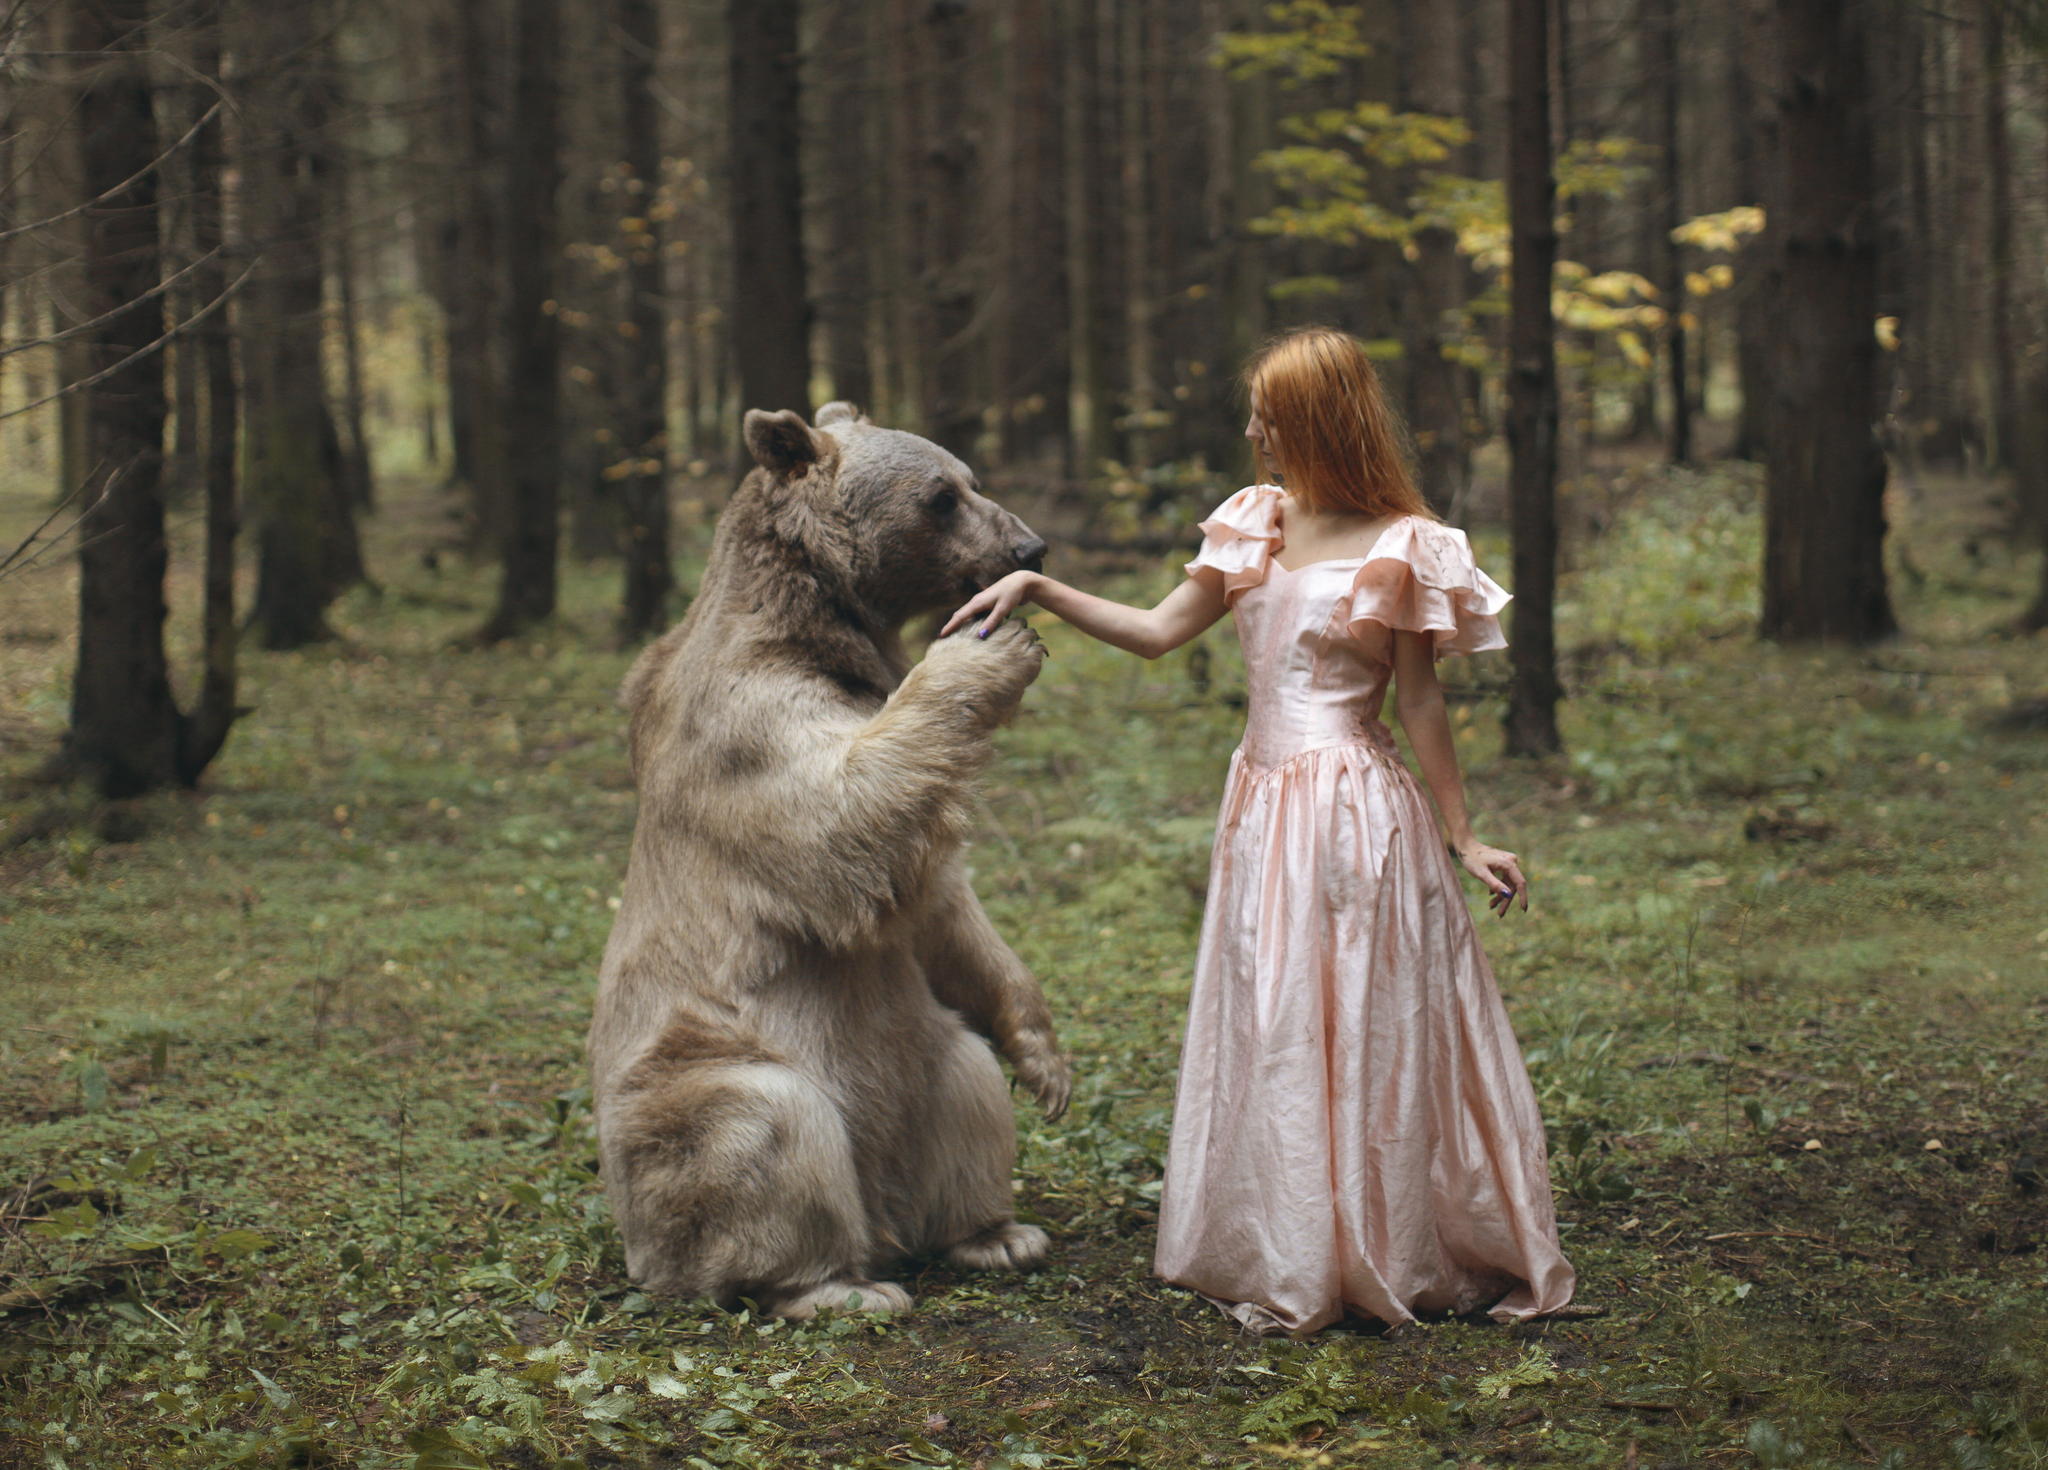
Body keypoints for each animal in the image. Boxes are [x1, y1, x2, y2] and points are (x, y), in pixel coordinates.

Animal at [587, 402, 1071, 1319]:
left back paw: (995, 1232)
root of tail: (880, 1216)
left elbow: (943, 906)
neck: (825, 630)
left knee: (965, 1085)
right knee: (768, 1136)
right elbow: (840, 819)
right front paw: (989, 643)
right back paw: (836, 1286)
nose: (1030, 548)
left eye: (972, 478)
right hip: (703, 1080)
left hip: (912, 1052)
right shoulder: (748, 723)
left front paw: (1047, 1061)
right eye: (940, 496)